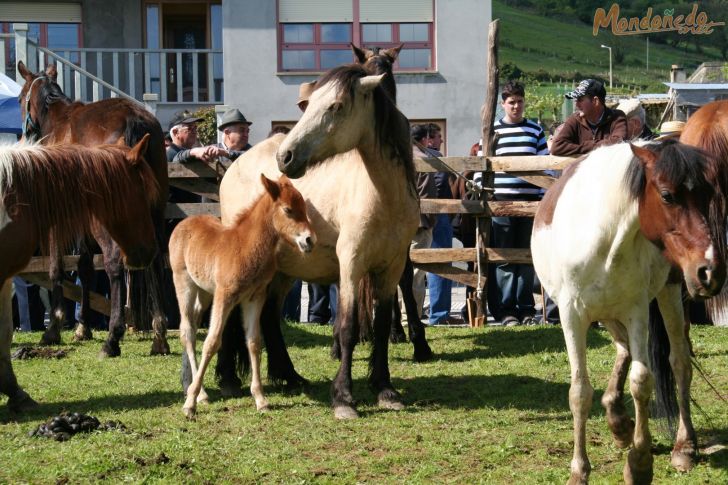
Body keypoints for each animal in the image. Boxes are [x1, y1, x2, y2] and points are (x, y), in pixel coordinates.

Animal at [16, 59, 170, 356]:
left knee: (114, 262)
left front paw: (54, 327)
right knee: (155, 260)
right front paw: (82, 327)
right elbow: (85, 265)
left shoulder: (59, 216)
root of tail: (133, 119)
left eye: (19, 98)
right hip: (154, 213)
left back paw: (113, 336)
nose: (25, 134)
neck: (59, 121)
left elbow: (57, 266)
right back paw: (159, 335)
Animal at [173, 175, 316, 420]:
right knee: (187, 332)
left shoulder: (255, 297)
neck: (246, 246)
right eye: (288, 210)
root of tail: (184, 222)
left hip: (204, 293)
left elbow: (254, 342)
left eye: (305, 209)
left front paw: (260, 399)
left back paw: (199, 392)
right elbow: (212, 342)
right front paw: (189, 404)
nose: (309, 240)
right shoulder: (225, 296)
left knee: (193, 323)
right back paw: (200, 394)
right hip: (184, 285)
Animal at [216, 64, 418, 418]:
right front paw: (344, 398)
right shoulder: (351, 265)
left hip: (282, 270)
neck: (385, 197)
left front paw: (385, 389)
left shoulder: (391, 268)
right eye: (308, 105)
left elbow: (381, 327)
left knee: (270, 317)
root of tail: (235, 162)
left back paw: (289, 376)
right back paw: (229, 380)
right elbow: (348, 327)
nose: (285, 157)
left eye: (336, 106)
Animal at [528, 139, 728, 480]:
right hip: (609, 312)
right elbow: (579, 392)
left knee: (679, 363)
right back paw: (618, 420)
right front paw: (579, 470)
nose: (710, 271)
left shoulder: (636, 310)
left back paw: (683, 446)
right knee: (623, 348)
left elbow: (642, 381)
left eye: (708, 195)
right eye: (667, 195)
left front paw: (640, 463)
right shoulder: (572, 315)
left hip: (667, 292)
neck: (604, 239)